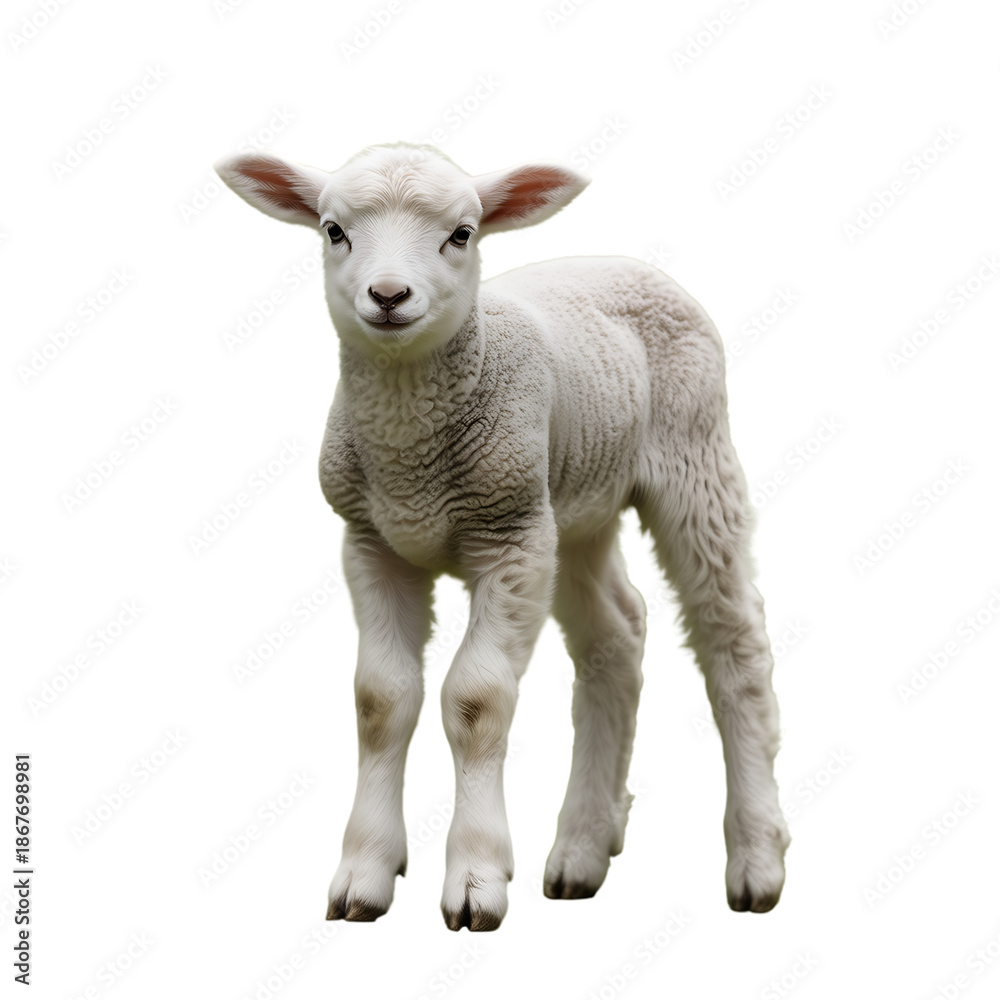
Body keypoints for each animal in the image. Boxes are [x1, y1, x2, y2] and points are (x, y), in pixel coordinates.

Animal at [215, 142, 790, 931]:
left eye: (462, 233)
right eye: (334, 230)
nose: (388, 296)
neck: (411, 455)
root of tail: (620, 259)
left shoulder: (510, 539)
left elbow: (477, 700)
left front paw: (475, 879)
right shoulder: (374, 541)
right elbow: (379, 701)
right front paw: (364, 874)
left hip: (690, 455)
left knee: (733, 636)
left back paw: (756, 858)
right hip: (572, 506)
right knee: (617, 636)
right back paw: (582, 848)